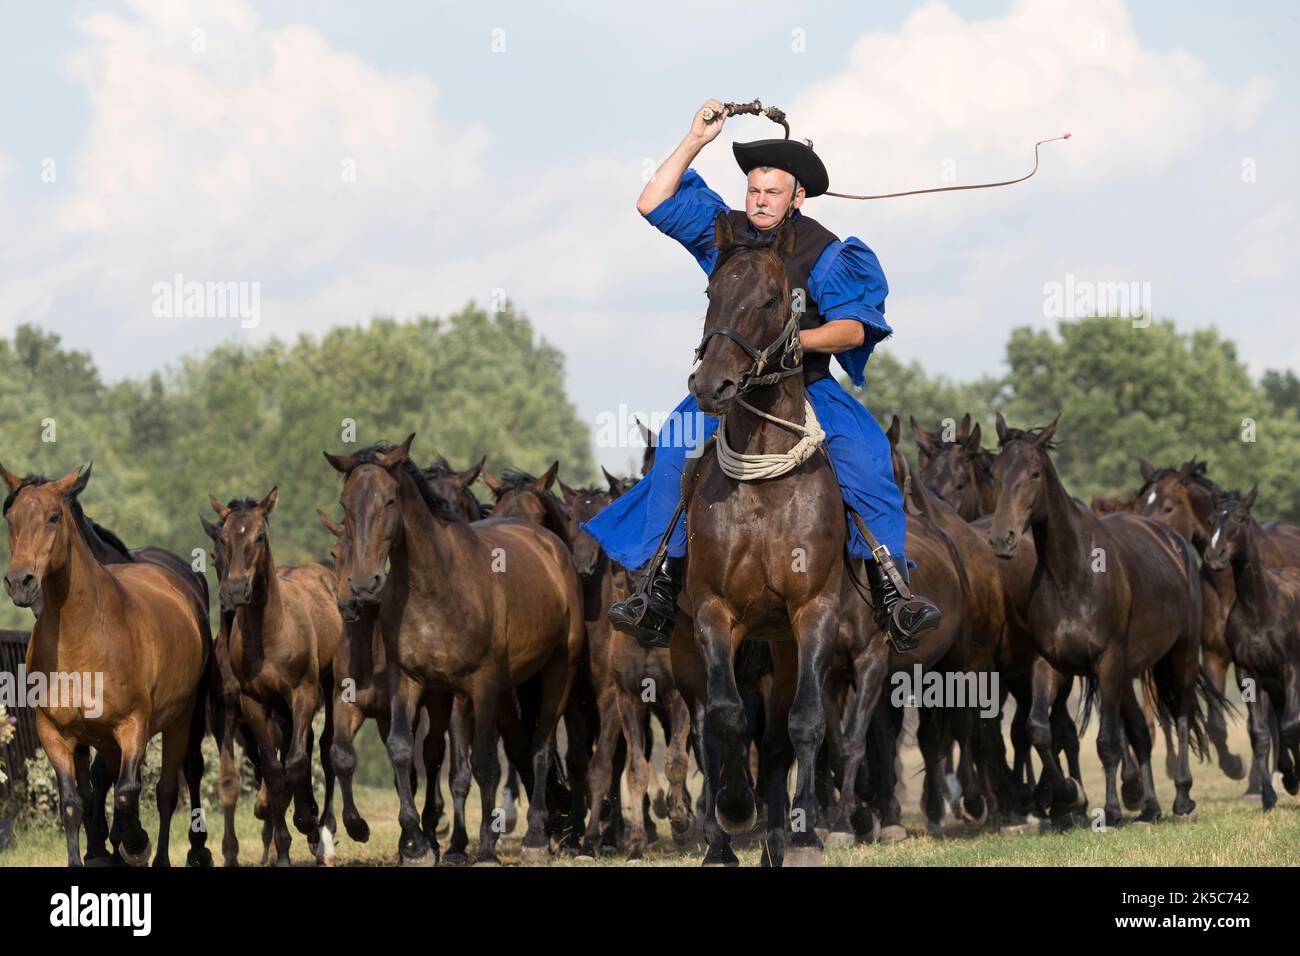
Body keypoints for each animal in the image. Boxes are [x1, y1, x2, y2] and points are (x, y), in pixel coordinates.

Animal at [1, 463, 210, 868]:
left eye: (54, 516)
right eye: (10, 518)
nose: (20, 583)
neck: (84, 639)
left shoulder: (132, 725)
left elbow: (128, 792)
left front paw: (134, 844)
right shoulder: (56, 733)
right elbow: (73, 802)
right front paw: (94, 852)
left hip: (183, 719)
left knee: (172, 785)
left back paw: (181, 852)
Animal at [205, 489, 343, 868]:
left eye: (259, 536)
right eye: (223, 539)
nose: (235, 591)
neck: (270, 634)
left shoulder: (303, 692)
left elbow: (294, 763)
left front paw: (306, 822)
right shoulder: (252, 702)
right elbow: (272, 769)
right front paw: (281, 849)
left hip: (329, 685)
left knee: (323, 747)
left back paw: (322, 833)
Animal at [325, 437, 585, 863]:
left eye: (390, 500)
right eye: (345, 504)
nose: (363, 585)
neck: (436, 586)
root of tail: (551, 546)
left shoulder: (480, 685)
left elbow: (483, 764)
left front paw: (485, 850)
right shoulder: (409, 681)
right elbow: (402, 750)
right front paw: (416, 845)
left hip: (558, 669)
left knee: (541, 745)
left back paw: (535, 838)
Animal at [982, 416, 1206, 827]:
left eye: (1034, 473)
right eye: (995, 473)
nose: (1002, 539)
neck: (1073, 575)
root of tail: (1174, 541)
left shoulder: (1108, 661)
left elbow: (1107, 742)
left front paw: (1111, 810)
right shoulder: (1051, 664)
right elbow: (1040, 731)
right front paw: (1071, 795)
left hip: (1180, 655)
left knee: (1181, 714)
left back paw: (1182, 798)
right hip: (1129, 671)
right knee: (1141, 731)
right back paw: (1149, 807)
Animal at [1201, 486, 1300, 806]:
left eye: (1241, 519)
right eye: (1211, 519)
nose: (1215, 555)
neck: (1259, 610)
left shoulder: (1292, 668)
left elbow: (1291, 726)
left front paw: (1291, 778)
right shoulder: (1248, 672)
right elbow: (1261, 732)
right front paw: (1271, 793)